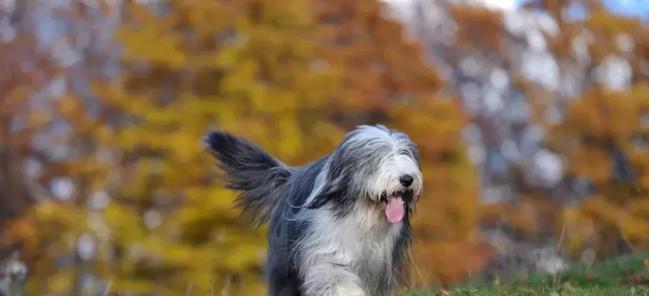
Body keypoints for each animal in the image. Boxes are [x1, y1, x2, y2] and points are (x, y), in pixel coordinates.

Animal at [205, 125, 422, 296]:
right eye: (376, 158)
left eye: (406, 154)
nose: (407, 179)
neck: (361, 216)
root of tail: (290, 176)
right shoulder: (323, 249)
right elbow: (334, 275)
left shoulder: (379, 266)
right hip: (284, 266)